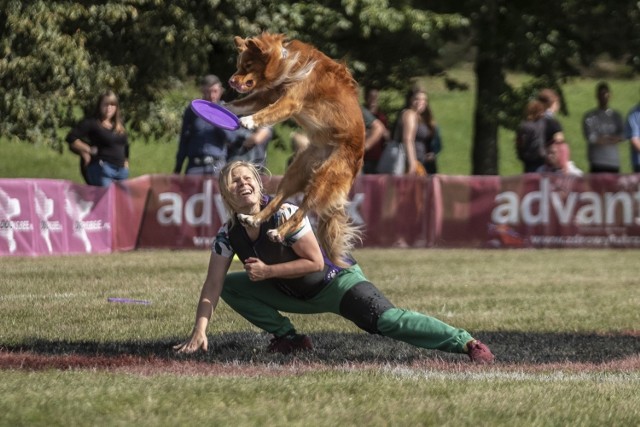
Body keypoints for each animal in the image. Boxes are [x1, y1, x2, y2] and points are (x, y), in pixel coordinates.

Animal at [225, 32, 364, 268]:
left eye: (248, 65)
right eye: (238, 65)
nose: (231, 81)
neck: (285, 62)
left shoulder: (290, 101)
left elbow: (267, 112)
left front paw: (249, 121)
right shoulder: (268, 95)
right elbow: (243, 102)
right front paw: (220, 106)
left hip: (323, 180)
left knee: (302, 211)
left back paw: (279, 233)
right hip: (296, 171)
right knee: (277, 200)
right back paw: (254, 218)